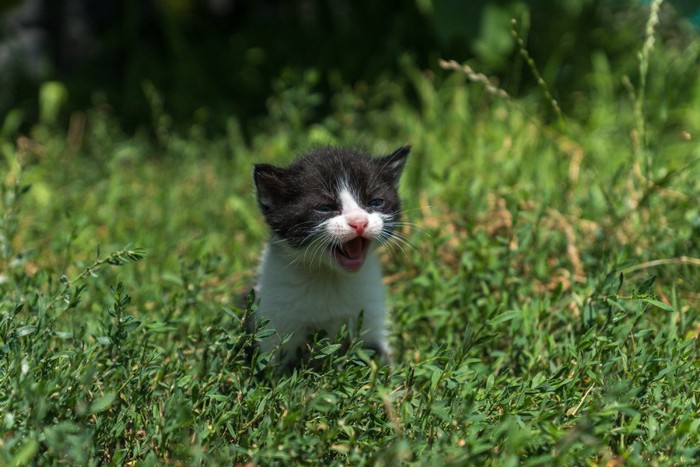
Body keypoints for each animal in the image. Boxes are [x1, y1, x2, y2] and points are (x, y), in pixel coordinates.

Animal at [250, 146, 410, 370]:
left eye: (376, 202)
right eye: (324, 208)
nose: (359, 222)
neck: (330, 276)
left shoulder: (369, 319)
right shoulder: (272, 323)